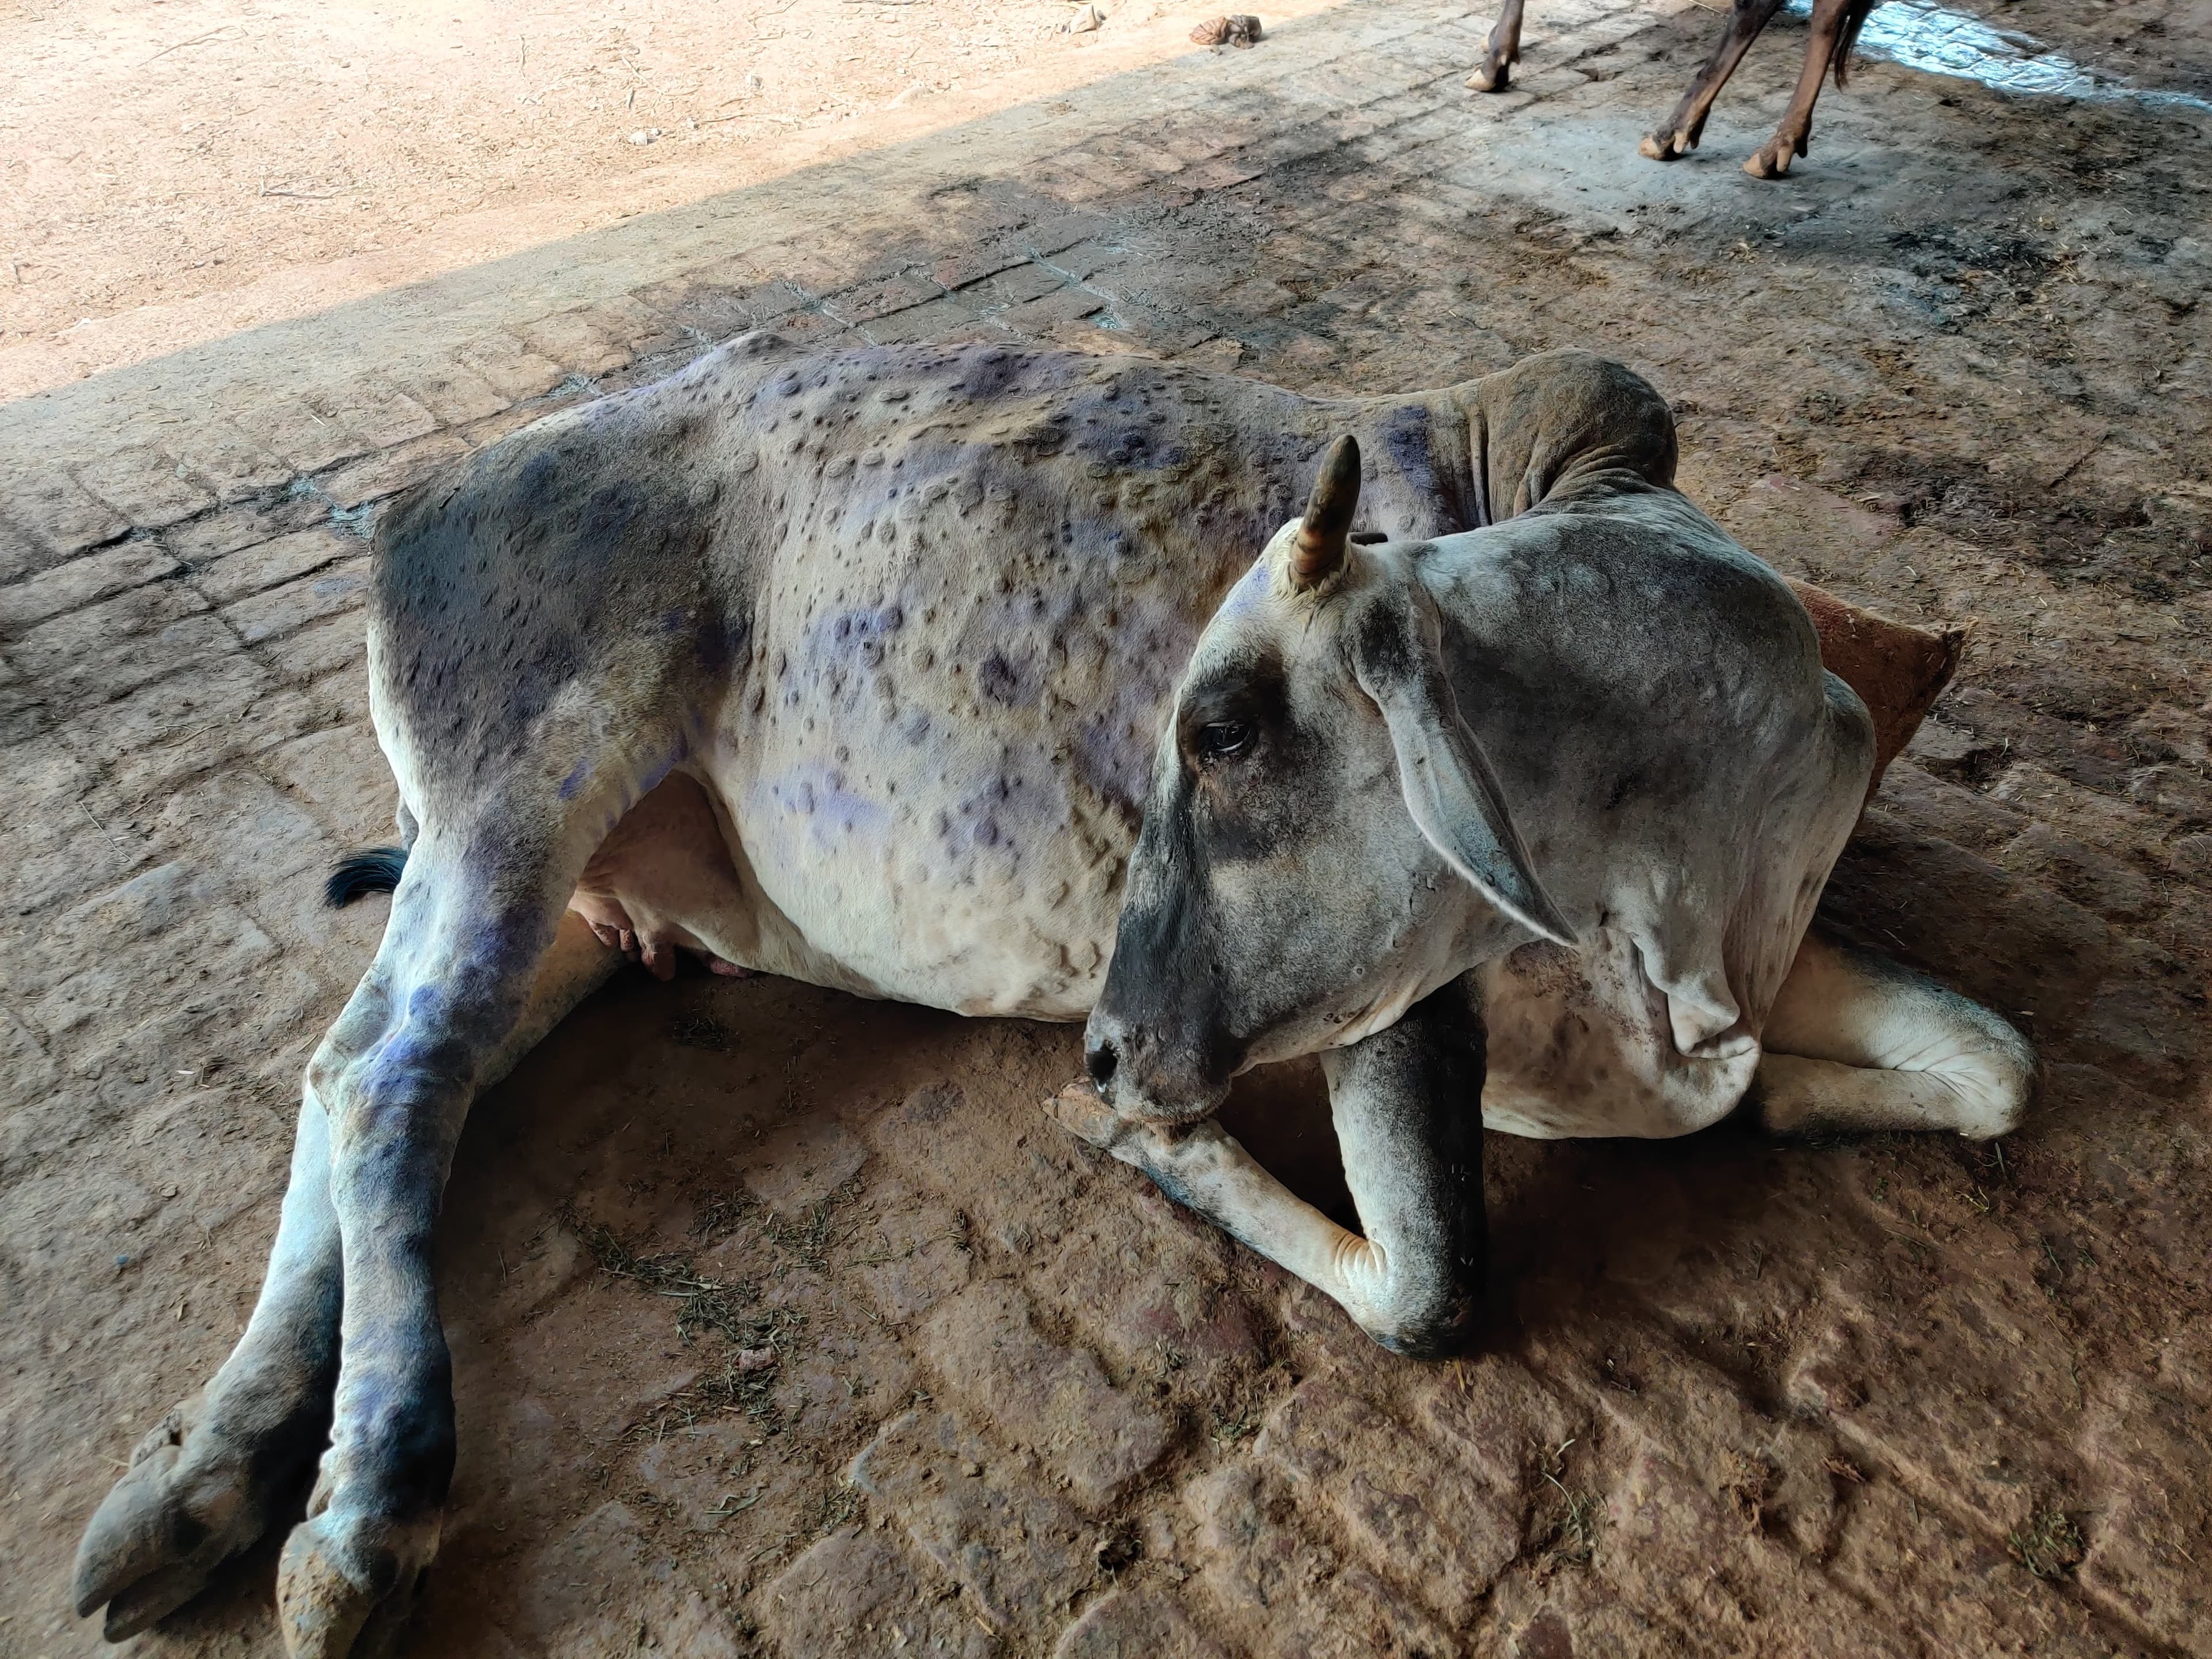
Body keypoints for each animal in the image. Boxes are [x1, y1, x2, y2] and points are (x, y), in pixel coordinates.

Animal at [1065, 425, 2033, 1361]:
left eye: (1223, 732)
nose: (1103, 1056)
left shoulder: (1767, 962)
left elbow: (2006, 1067)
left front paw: (1779, 1095)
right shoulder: (1412, 1003)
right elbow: (1427, 1295)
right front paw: (1139, 1135)